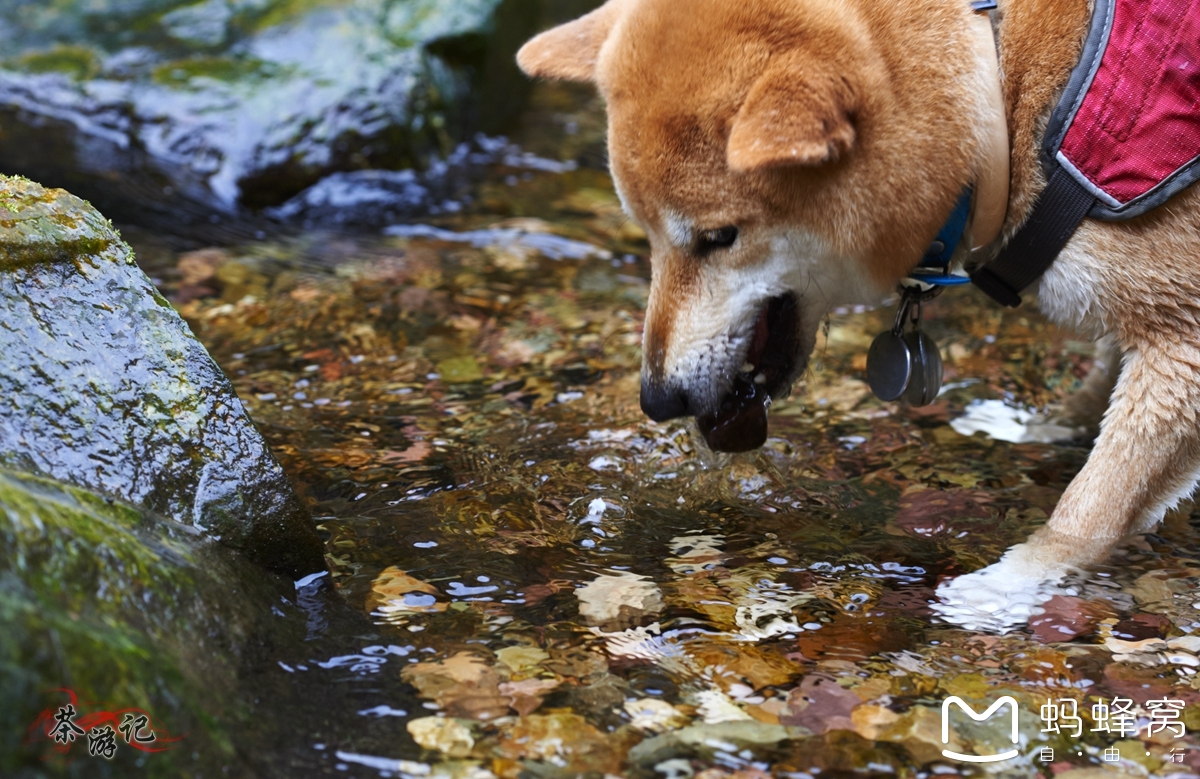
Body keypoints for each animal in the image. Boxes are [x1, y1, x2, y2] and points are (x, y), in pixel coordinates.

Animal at [520, 0, 1200, 624]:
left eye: (717, 237)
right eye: (648, 234)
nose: (658, 400)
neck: (1004, 95)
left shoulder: (1180, 342)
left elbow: (1091, 507)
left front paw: (1007, 585)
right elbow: (1100, 383)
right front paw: (1046, 428)